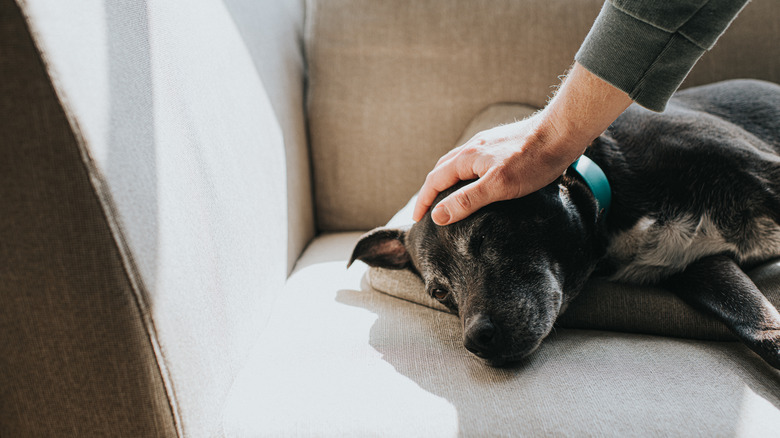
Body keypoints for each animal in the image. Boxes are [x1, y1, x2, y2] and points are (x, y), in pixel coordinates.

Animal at [348, 79, 780, 370]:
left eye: (486, 236)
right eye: (439, 292)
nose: (476, 341)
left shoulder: (765, 175)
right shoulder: (699, 265)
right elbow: (758, 325)